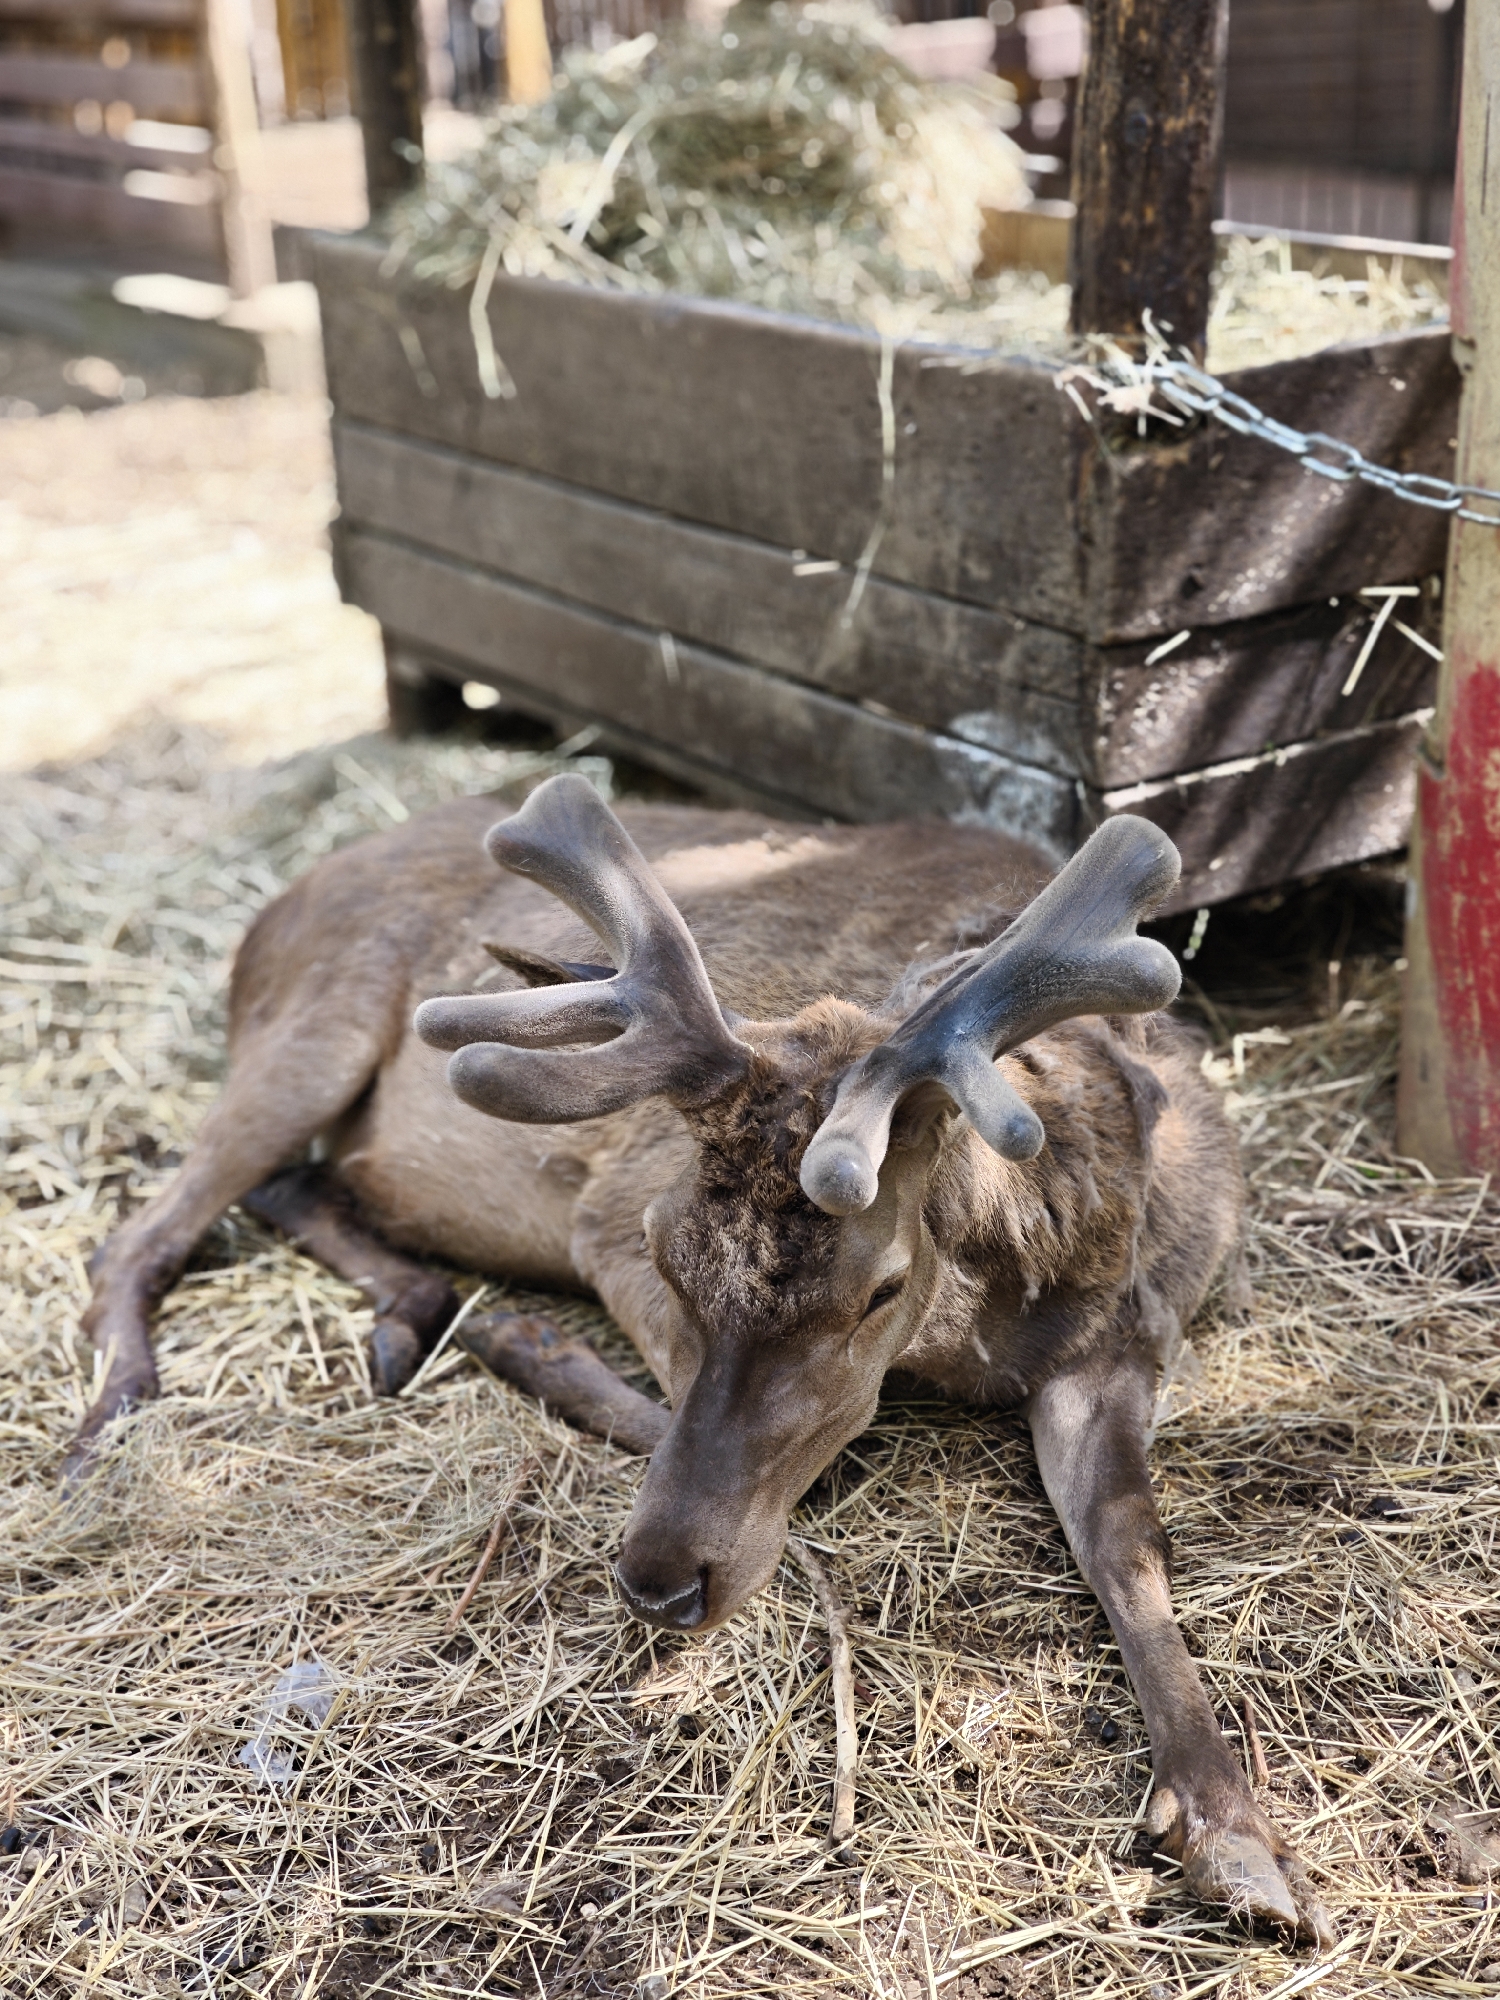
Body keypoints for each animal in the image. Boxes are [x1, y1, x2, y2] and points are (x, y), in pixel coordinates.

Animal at [75, 772, 1331, 1945]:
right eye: (666, 1247)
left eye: (880, 1285)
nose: (659, 1580)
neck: (1015, 1298)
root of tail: (278, 900)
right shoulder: (604, 1216)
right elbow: (708, 1417)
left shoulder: (1133, 1334)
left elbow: (1130, 1541)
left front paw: (1241, 1842)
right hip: (310, 1028)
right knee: (140, 1229)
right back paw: (110, 1427)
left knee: (295, 1187)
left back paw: (417, 1313)